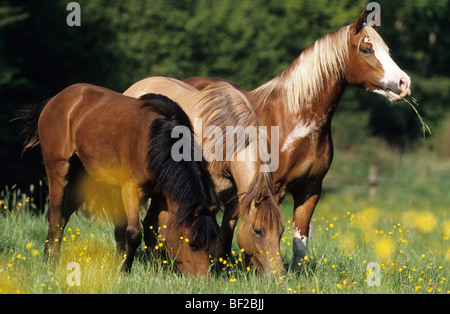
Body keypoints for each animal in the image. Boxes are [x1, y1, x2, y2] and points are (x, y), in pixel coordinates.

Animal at [18, 83, 220, 278]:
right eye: (193, 244)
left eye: (213, 245)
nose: (204, 281)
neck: (157, 140)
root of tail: (56, 99)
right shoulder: (131, 189)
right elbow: (134, 233)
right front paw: (125, 271)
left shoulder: (163, 198)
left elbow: (159, 235)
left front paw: (160, 272)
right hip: (59, 172)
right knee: (55, 217)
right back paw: (51, 263)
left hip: (80, 180)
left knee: (63, 217)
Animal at [184, 11, 412, 268]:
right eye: (366, 49)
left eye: (387, 50)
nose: (404, 82)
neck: (295, 120)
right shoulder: (271, 189)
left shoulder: (310, 190)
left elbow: (299, 242)